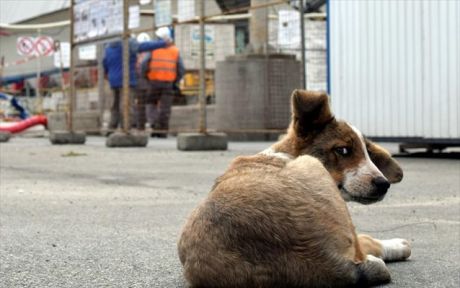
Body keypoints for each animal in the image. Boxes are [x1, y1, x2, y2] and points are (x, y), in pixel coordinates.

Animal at [178, 90, 412, 288]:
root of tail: (331, 266)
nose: (384, 184)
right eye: (343, 150)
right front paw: (397, 244)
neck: (285, 154)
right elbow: (367, 240)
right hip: (313, 167)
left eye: (368, 154)